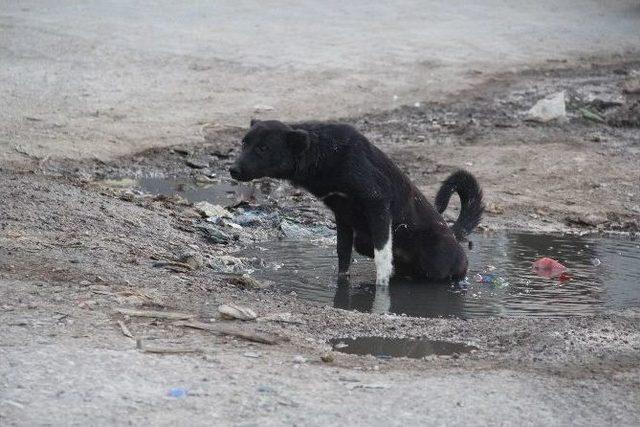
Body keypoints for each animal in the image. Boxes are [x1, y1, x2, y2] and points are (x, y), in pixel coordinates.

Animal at [228, 120, 482, 286]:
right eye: (244, 143)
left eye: (263, 148)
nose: (232, 170)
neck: (324, 151)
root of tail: (453, 234)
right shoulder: (342, 216)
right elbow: (342, 255)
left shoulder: (378, 204)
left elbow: (382, 258)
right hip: (362, 242)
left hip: (437, 260)